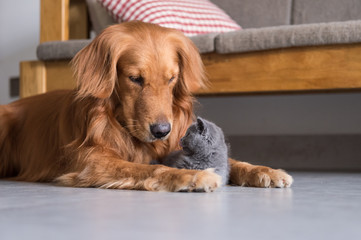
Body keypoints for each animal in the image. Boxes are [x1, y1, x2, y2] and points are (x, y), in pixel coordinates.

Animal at [0, 22, 292, 191]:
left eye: (172, 78)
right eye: (135, 79)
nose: (161, 131)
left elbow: (233, 161)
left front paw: (264, 170)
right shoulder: (91, 162)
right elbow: (151, 167)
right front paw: (193, 177)